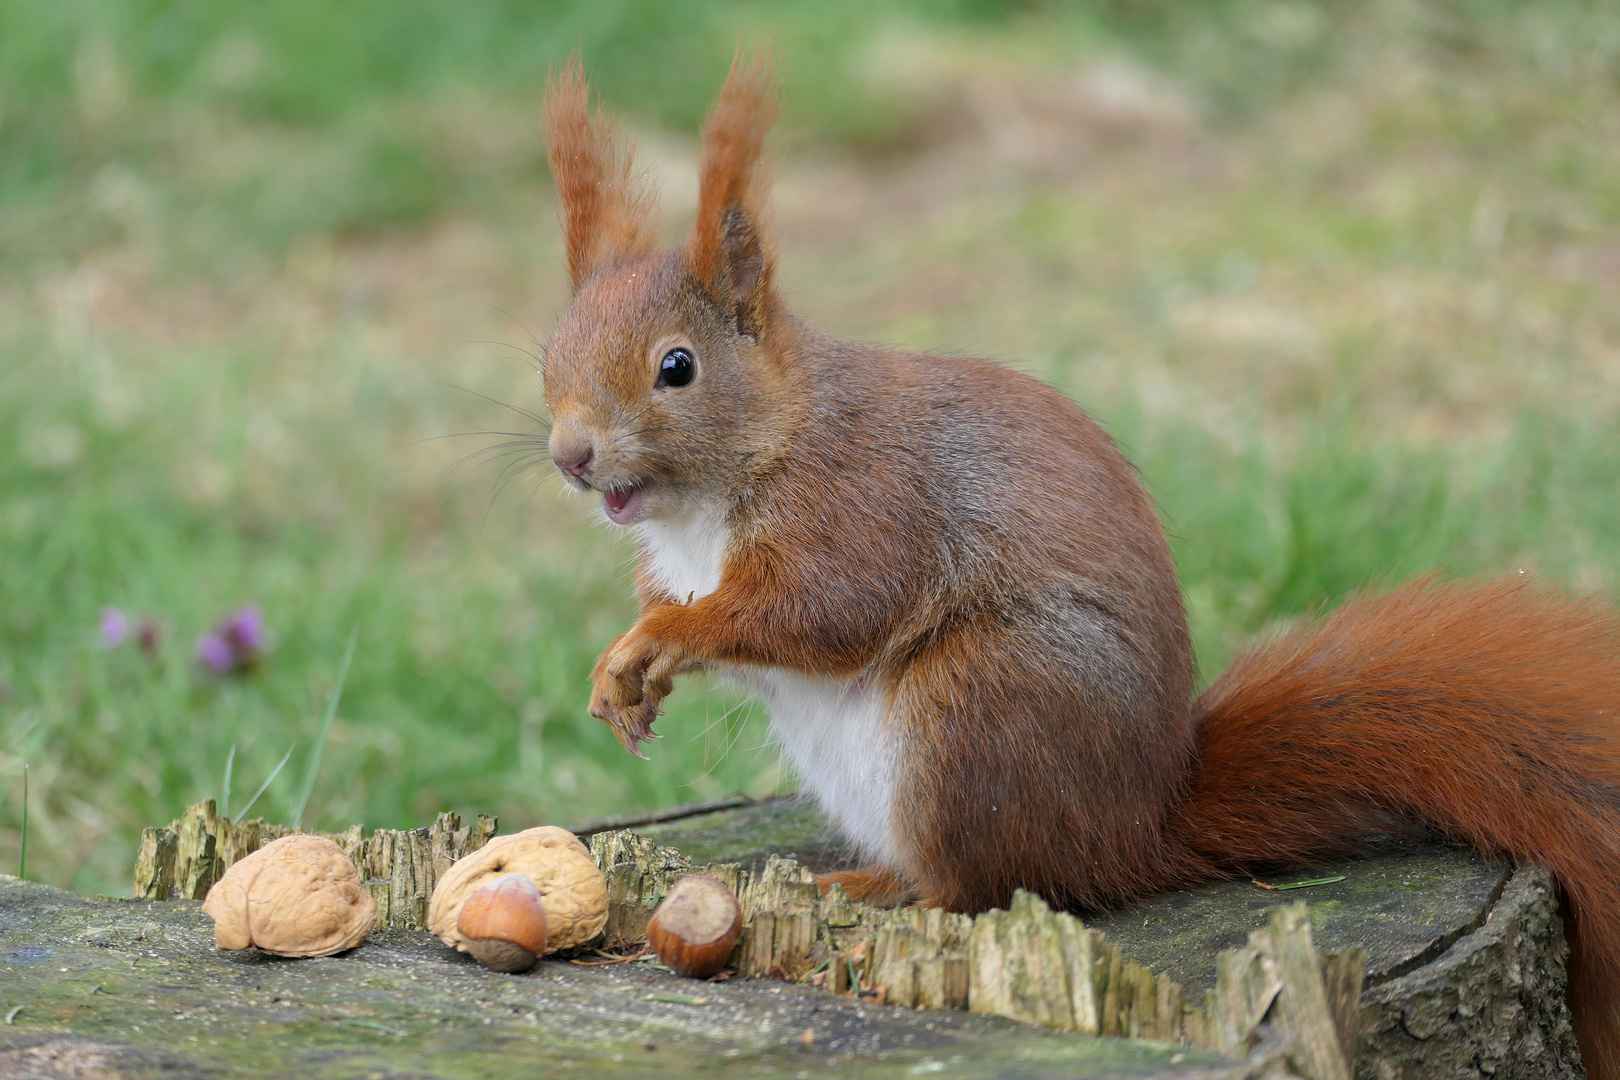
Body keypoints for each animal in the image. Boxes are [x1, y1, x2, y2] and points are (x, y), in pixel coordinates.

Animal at [537, 52, 1620, 1075]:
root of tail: (1137, 827)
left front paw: (664, 640)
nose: (570, 456)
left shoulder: (862, 507)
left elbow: (821, 611)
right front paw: (621, 669)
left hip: (977, 713)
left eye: (677, 368)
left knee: (991, 886)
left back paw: (894, 893)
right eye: (548, 354)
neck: (727, 482)